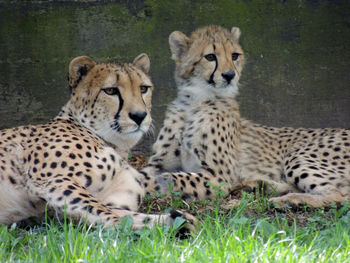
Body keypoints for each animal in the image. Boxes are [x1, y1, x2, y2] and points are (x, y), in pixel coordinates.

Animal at [141, 26, 348, 208]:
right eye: (210, 57)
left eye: (234, 56)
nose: (229, 75)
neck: (195, 102)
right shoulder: (159, 163)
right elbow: (145, 172)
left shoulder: (218, 177)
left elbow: (170, 178)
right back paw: (258, 186)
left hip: (298, 154)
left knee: (339, 194)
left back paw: (289, 200)